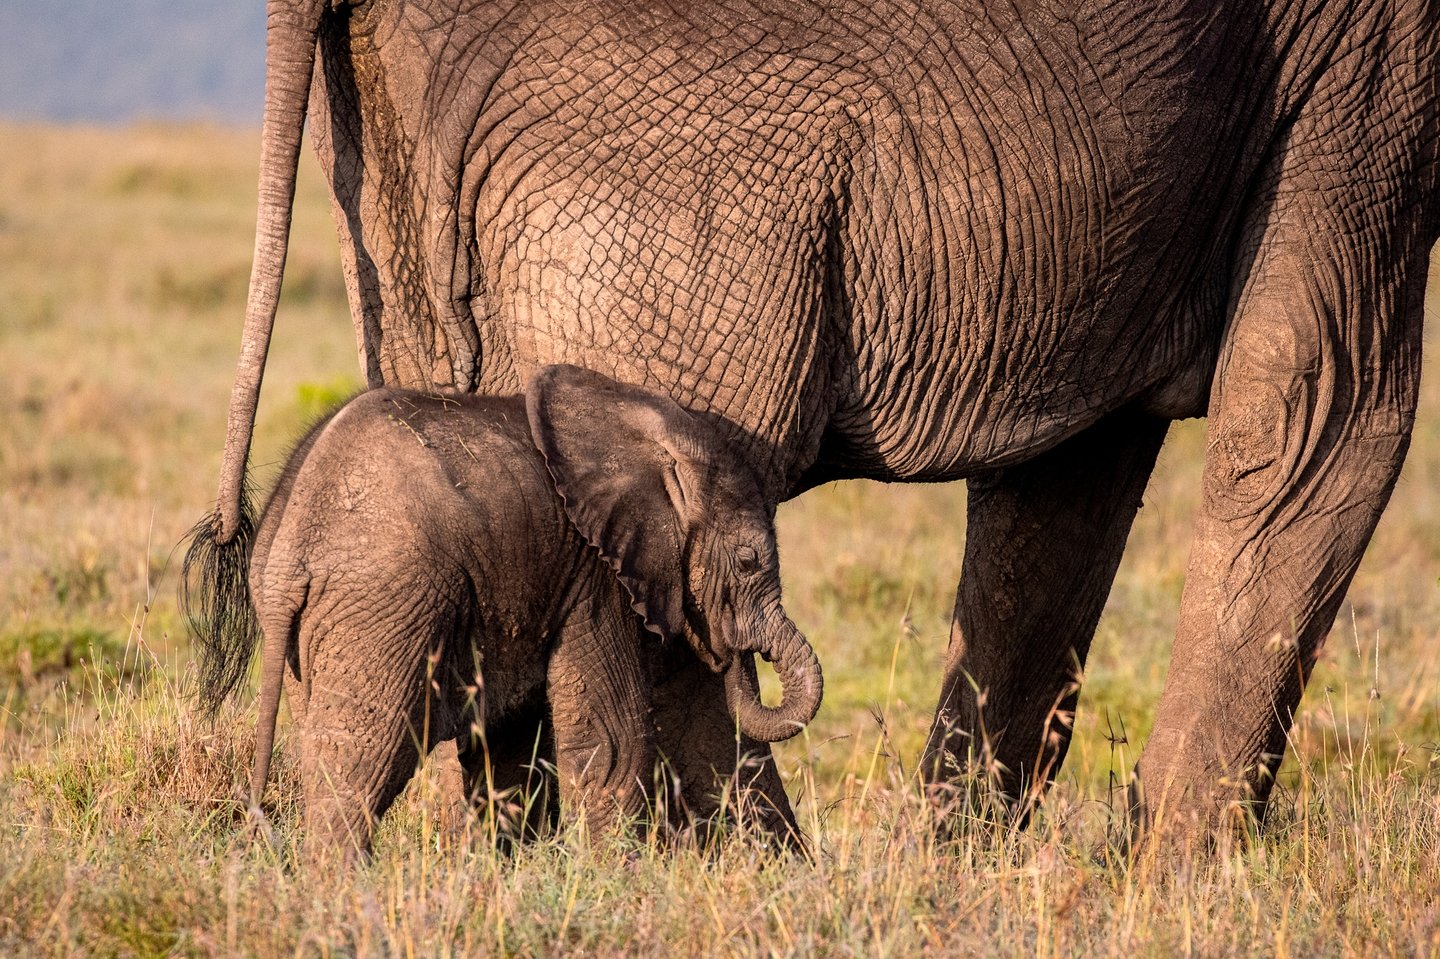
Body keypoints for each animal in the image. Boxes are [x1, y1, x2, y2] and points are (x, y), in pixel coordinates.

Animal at [215, 365, 823, 856]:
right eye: (747, 561)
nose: (733, 652)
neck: (644, 430)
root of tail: (291, 547)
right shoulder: (594, 578)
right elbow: (612, 739)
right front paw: (613, 879)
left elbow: (509, 748)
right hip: (383, 600)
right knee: (368, 753)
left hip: (316, 630)